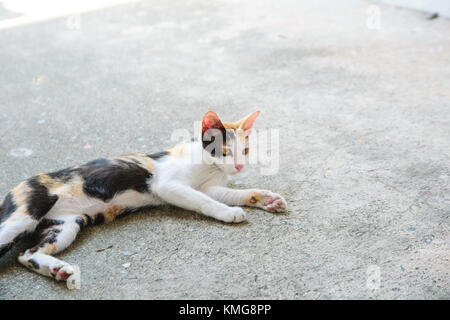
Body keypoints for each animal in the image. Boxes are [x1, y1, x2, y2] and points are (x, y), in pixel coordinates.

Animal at [0, 110, 286, 282]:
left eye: (245, 151)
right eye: (224, 152)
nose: (238, 167)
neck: (208, 166)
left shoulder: (209, 186)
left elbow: (228, 193)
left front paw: (264, 198)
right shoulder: (167, 185)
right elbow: (204, 200)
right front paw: (227, 212)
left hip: (65, 225)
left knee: (26, 254)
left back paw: (56, 269)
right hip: (26, 212)